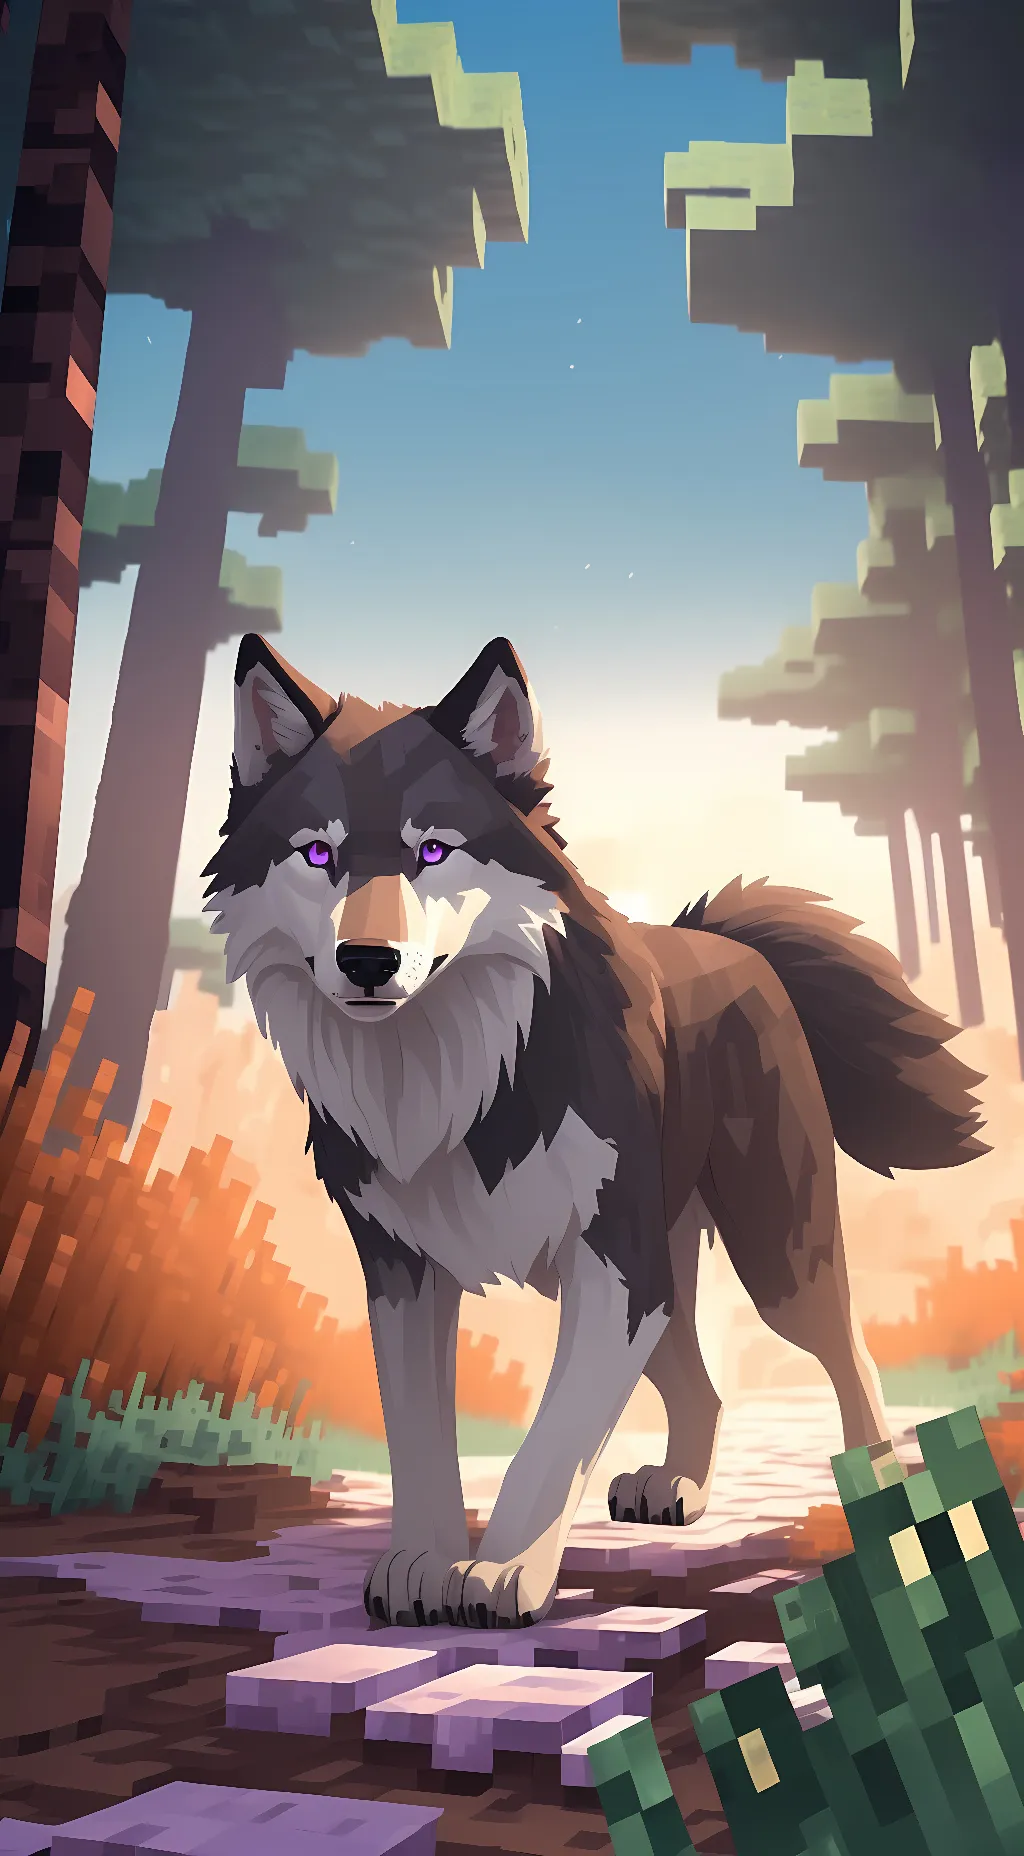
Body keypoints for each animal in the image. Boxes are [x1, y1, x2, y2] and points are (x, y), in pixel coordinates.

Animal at [204, 633, 987, 1630]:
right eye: (317, 853)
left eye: (432, 850)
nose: (368, 961)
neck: (452, 1074)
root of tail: (730, 940)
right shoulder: (403, 1270)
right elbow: (416, 1433)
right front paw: (422, 1562)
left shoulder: (614, 1267)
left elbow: (555, 1434)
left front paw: (500, 1572)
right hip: (652, 1268)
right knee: (700, 1381)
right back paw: (678, 1486)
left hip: (772, 1253)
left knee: (849, 1353)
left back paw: (881, 1492)